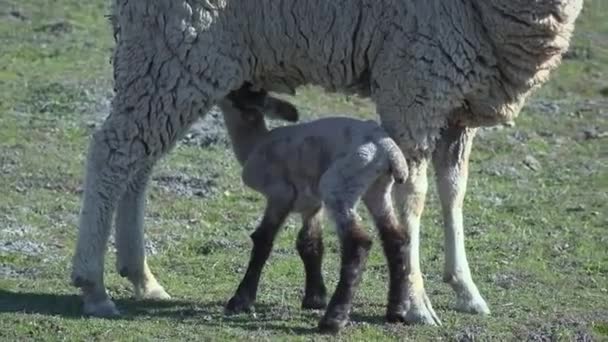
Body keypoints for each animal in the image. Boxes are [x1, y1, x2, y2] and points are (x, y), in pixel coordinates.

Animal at [216, 82, 410, 332]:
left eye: (235, 91)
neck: (255, 143)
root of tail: (388, 150)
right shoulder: (311, 204)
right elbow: (309, 244)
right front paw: (314, 299)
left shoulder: (280, 194)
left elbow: (263, 240)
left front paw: (240, 301)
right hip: (377, 189)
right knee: (396, 238)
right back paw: (396, 311)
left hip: (339, 184)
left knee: (358, 243)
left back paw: (333, 320)